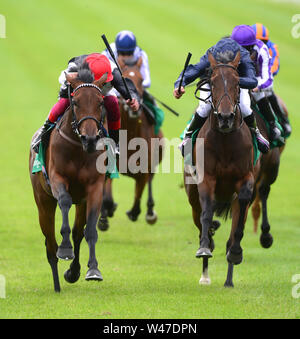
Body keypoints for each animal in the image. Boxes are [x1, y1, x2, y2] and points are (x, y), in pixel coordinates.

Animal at [29, 66, 109, 292]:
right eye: (76, 102)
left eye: (100, 102)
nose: (90, 139)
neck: (77, 149)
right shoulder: (57, 178)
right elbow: (64, 201)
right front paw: (65, 250)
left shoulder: (94, 188)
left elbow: (88, 231)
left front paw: (92, 270)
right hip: (43, 202)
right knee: (50, 244)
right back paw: (57, 284)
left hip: (80, 203)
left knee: (77, 233)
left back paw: (73, 272)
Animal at [98, 56, 164, 231]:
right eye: (125, 76)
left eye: (141, 80)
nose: (133, 104)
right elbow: (106, 196)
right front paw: (104, 217)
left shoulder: (144, 169)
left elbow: (138, 195)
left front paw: (135, 212)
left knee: (150, 182)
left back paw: (150, 212)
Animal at [184, 51, 264, 288]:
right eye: (212, 82)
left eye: (237, 82)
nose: (226, 117)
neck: (226, 141)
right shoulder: (206, 179)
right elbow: (207, 211)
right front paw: (204, 247)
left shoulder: (246, 178)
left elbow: (238, 223)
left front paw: (236, 253)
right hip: (192, 196)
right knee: (201, 217)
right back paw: (205, 272)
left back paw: (229, 277)